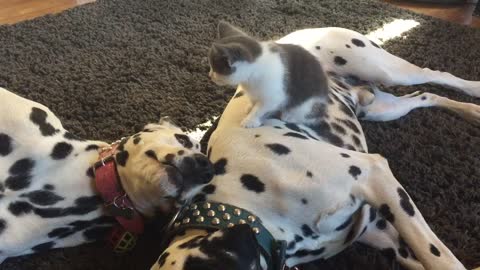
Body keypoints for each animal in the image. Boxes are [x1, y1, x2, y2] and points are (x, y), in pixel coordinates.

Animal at [153, 23, 480, 270]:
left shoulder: (374, 173)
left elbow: (440, 258)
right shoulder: (382, 233)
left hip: (388, 70)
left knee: (436, 75)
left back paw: (474, 89)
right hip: (383, 108)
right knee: (426, 96)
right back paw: (472, 112)